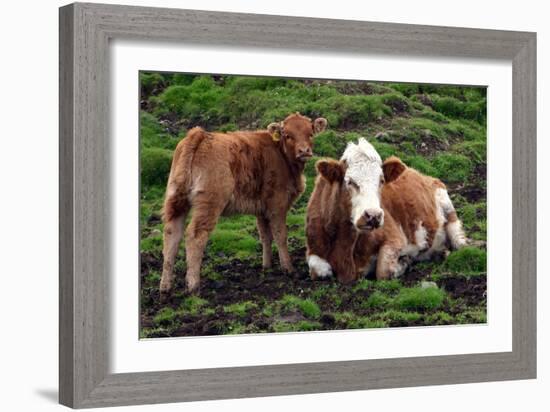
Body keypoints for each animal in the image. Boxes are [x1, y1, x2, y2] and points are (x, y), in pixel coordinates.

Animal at [160, 112, 328, 294]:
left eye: (310, 134)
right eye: (288, 135)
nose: (304, 151)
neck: (280, 155)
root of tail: (200, 135)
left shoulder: (262, 208)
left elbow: (265, 236)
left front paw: (267, 266)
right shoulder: (277, 204)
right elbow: (280, 235)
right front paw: (288, 268)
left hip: (177, 200)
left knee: (172, 233)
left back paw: (165, 286)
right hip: (209, 204)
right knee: (195, 236)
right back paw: (193, 285)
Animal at [308, 138, 468, 284]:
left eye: (381, 181)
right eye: (350, 182)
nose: (373, 215)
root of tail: (421, 174)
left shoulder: (395, 237)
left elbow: (383, 270)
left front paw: (404, 262)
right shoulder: (314, 248)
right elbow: (318, 270)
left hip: (447, 205)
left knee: (458, 239)